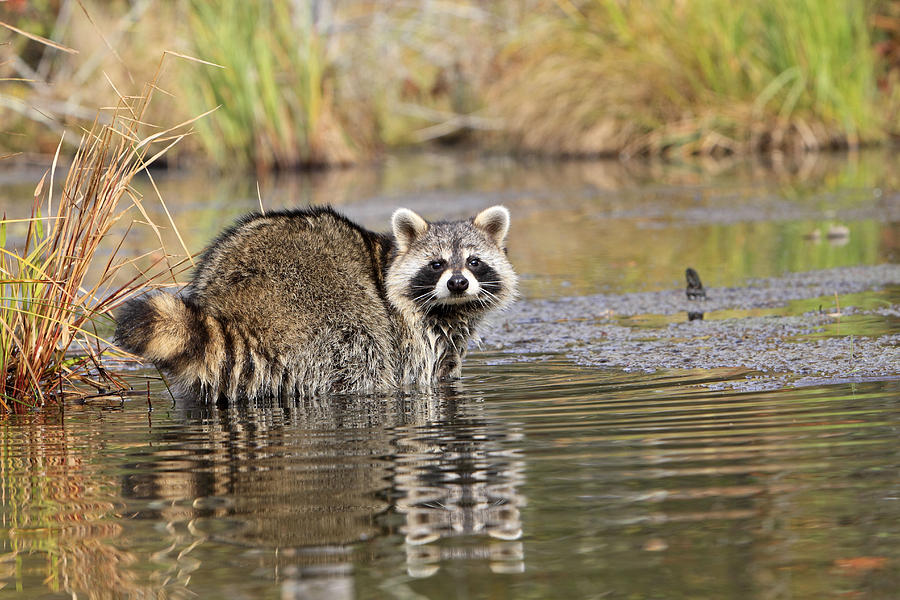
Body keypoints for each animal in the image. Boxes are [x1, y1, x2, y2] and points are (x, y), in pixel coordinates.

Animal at [116, 205, 516, 398]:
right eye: (437, 264)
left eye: (474, 261)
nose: (458, 283)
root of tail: (233, 306)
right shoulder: (414, 334)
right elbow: (426, 374)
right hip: (322, 310)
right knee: (363, 349)